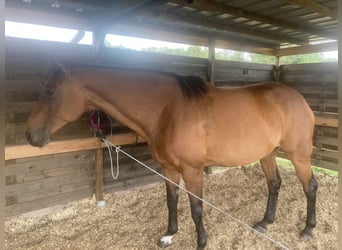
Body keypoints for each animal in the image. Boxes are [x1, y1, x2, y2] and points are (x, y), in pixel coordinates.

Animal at [26, 62, 318, 248]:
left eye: (50, 91)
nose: (30, 135)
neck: (168, 110)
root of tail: (298, 98)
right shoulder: (168, 168)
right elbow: (172, 201)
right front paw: (169, 235)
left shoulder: (192, 170)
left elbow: (196, 208)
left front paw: (201, 243)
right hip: (267, 153)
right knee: (274, 184)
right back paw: (265, 222)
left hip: (299, 155)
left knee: (310, 186)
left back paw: (307, 229)